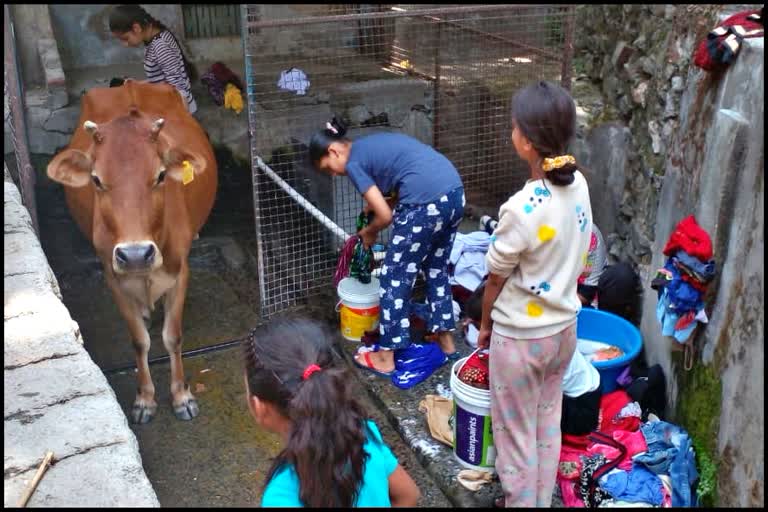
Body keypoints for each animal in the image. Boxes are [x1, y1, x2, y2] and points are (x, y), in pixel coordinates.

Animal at [47, 81, 218, 424]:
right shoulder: (113, 277)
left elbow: (173, 336)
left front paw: (182, 396)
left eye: (161, 175)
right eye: (97, 180)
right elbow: (139, 341)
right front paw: (145, 399)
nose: (136, 254)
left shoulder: (180, 270)